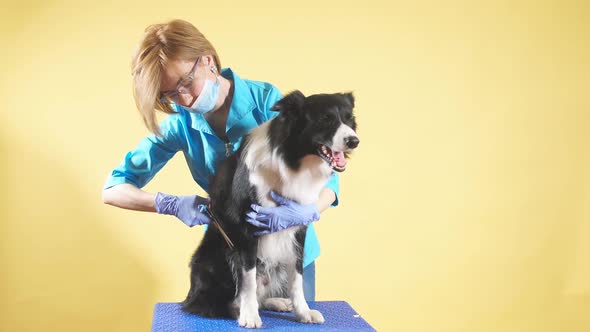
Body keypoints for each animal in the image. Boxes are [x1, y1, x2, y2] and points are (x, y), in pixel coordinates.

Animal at [183, 90, 358, 326]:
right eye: (325, 119)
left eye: (348, 118)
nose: (354, 141)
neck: (291, 160)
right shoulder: (247, 227)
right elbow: (248, 278)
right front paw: (249, 315)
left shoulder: (297, 224)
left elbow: (297, 277)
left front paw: (303, 312)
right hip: (217, 256)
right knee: (218, 301)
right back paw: (239, 309)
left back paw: (277, 302)